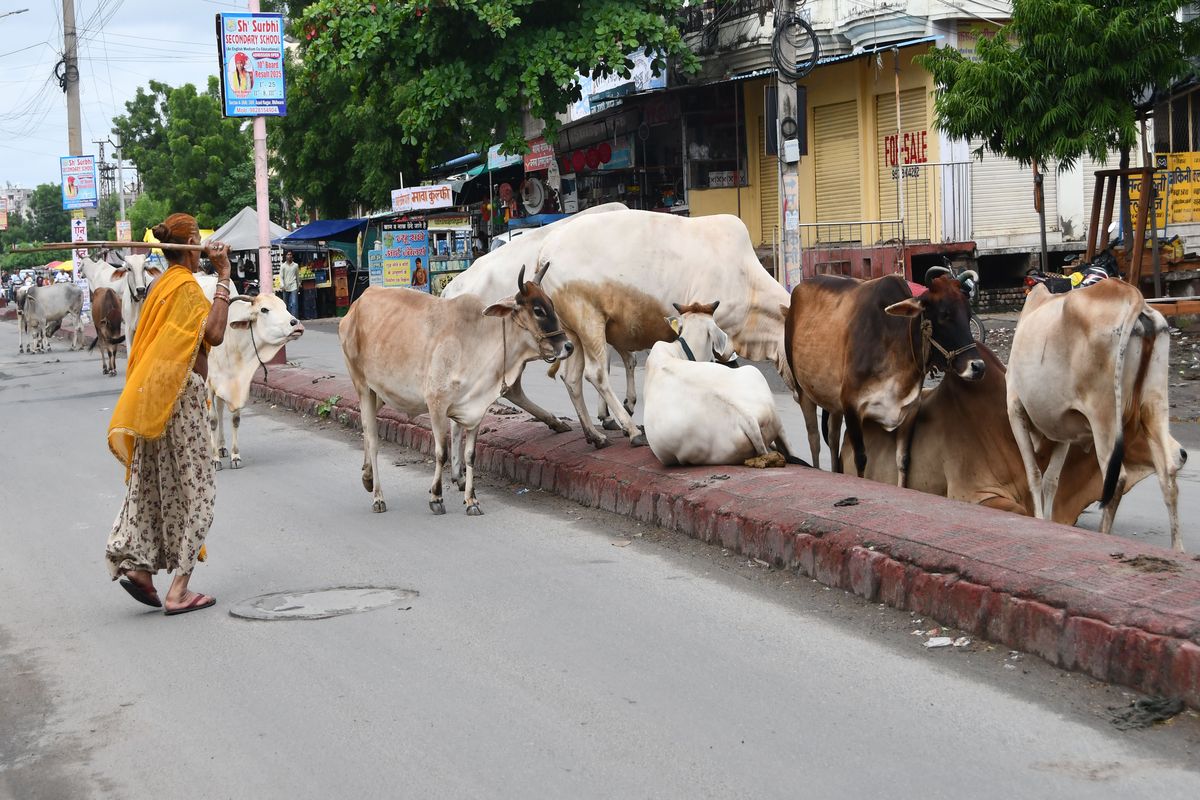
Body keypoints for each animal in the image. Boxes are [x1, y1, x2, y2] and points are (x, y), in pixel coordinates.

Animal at [340, 265, 573, 516]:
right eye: (538, 310)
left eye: (551, 304)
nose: (568, 346)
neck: (476, 342)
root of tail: (358, 303)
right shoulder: (436, 405)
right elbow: (441, 452)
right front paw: (436, 497)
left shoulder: (475, 409)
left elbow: (470, 455)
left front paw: (472, 500)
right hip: (362, 385)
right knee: (372, 437)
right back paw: (377, 496)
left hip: (380, 392)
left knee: (367, 431)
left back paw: (367, 477)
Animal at [784, 274, 985, 486]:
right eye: (944, 315)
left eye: (969, 315)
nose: (978, 366)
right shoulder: (852, 407)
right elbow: (860, 459)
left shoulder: (910, 410)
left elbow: (903, 460)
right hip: (804, 391)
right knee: (814, 439)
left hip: (833, 402)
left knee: (832, 437)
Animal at [1007, 279, 1187, 550]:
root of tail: (1134, 296)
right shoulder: (1063, 430)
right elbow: (1052, 480)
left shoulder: (1015, 409)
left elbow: (1035, 475)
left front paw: (1040, 519)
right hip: (1154, 405)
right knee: (1168, 475)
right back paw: (1177, 550)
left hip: (1104, 416)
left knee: (1118, 478)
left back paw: (1104, 537)